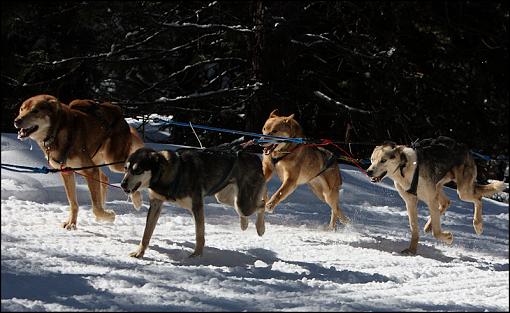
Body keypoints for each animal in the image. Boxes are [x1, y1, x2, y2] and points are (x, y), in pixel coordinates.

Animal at [13, 94, 144, 228]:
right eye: (21, 109)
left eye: (35, 110)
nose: (16, 120)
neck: (57, 132)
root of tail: (118, 113)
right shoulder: (67, 172)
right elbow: (73, 203)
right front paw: (72, 223)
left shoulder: (90, 171)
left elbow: (96, 208)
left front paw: (109, 216)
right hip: (92, 164)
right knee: (105, 178)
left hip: (113, 162)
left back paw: (136, 199)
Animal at [366, 138, 506, 255]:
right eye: (372, 159)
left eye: (383, 160)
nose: (368, 172)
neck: (404, 168)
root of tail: (463, 147)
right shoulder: (410, 202)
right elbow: (414, 228)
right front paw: (412, 250)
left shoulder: (430, 200)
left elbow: (437, 232)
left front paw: (448, 238)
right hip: (438, 188)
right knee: (446, 203)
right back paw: (429, 225)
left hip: (462, 191)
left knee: (478, 199)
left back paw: (478, 225)